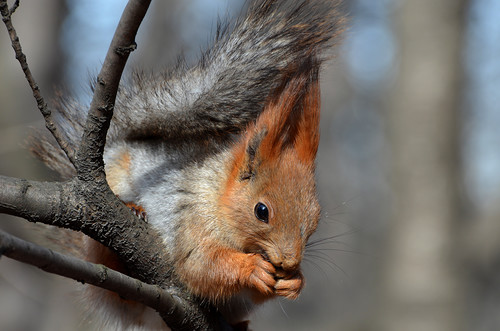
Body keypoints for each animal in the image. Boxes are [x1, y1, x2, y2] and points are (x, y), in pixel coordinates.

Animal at [31, 0, 344, 330]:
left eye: (316, 217)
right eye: (262, 211)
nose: (289, 261)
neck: (218, 194)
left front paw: (296, 281)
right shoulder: (192, 217)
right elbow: (200, 264)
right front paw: (252, 269)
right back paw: (132, 212)